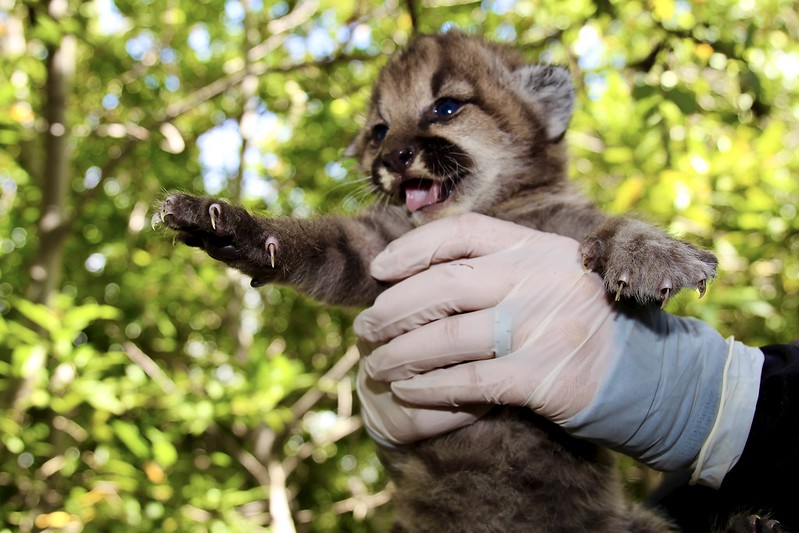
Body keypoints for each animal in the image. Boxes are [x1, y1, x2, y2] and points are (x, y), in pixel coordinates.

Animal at [156, 31, 724, 528]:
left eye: (446, 108)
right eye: (379, 131)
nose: (392, 158)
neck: (481, 211)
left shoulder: (564, 221)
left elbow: (611, 224)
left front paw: (652, 254)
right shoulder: (372, 249)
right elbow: (314, 241)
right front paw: (226, 223)